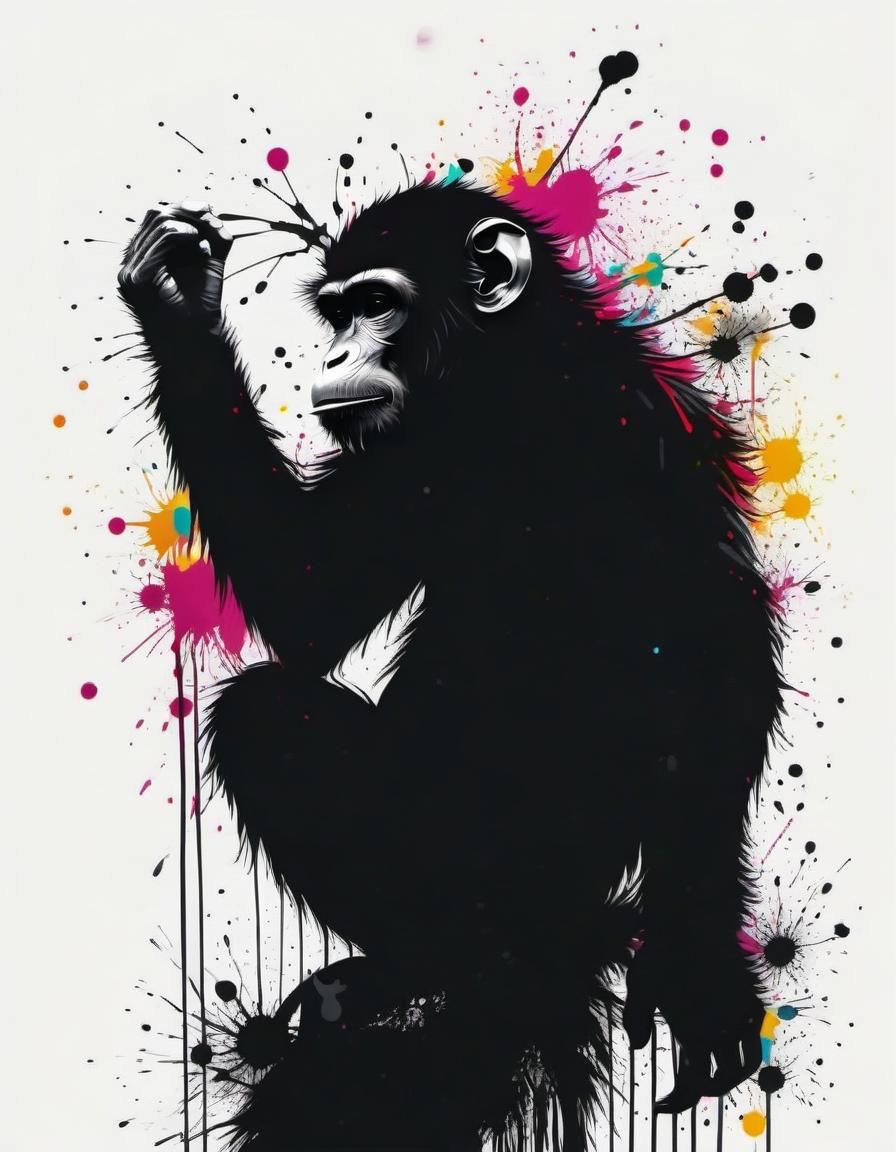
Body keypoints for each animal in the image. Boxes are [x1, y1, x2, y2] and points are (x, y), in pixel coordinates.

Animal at [118, 181, 780, 1151]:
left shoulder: (603, 422)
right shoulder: (414, 443)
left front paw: (697, 968)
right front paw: (180, 289)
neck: (509, 372)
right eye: (339, 311)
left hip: (472, 864)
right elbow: (311, 596)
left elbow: (714, 637)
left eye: (378, 304)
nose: (340, 351)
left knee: (265, 715)